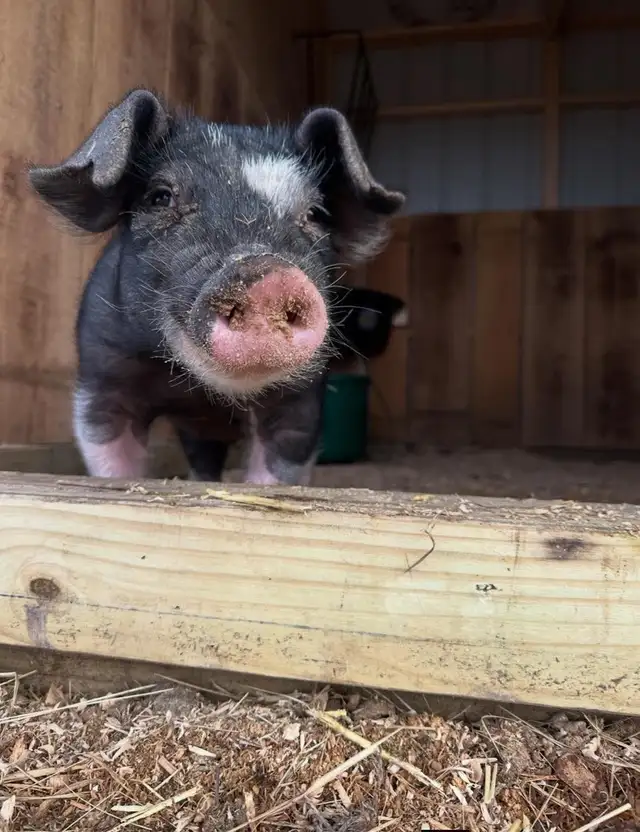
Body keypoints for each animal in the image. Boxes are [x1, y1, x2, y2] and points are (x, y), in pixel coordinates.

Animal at [28, 88, 404, 485]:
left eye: (315, 214)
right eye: (160, 197)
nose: (267, 273)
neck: (202, 393)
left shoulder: (300, 399)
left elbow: (279, 465)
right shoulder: (102, 376)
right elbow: (110, 454)